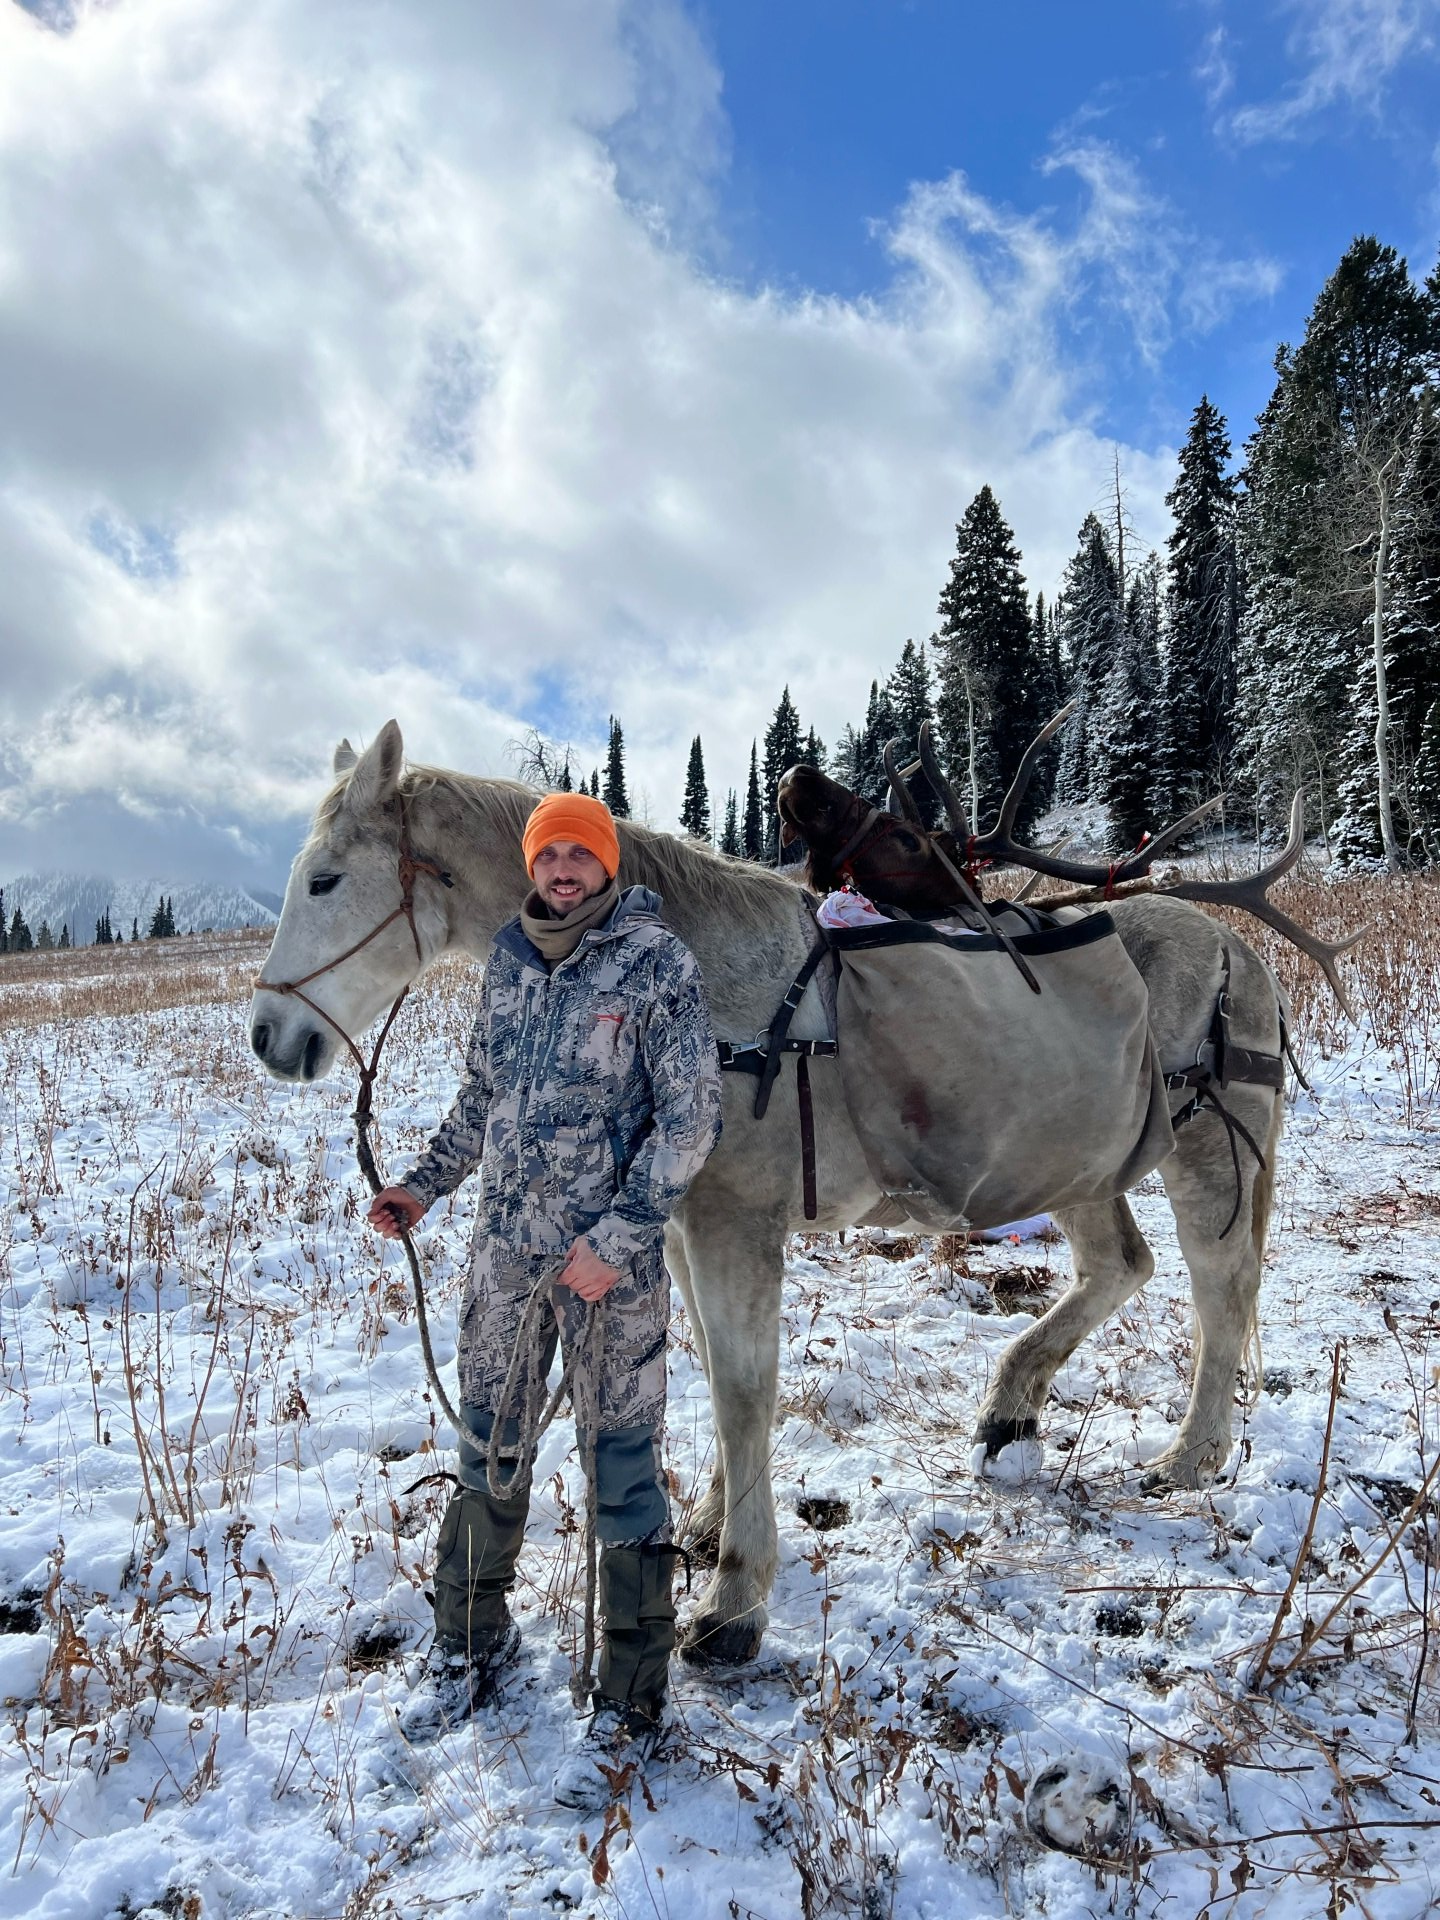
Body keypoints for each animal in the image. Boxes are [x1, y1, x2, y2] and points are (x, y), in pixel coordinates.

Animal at [251, 719, 1288, 1667]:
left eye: (325, 881)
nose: (268, 1035)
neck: (707, 994)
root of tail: (1238, 951)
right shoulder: (672, 1226)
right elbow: (714, 1372)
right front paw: (710, 1527)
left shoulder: (735, 1224)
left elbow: (745, 1390)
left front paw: (733, 1601)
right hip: (1074, 1159)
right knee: (1122, 1265)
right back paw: (1010, 1409)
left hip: (1206, 1152)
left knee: (1220, 1287)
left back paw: (1189, 1456)